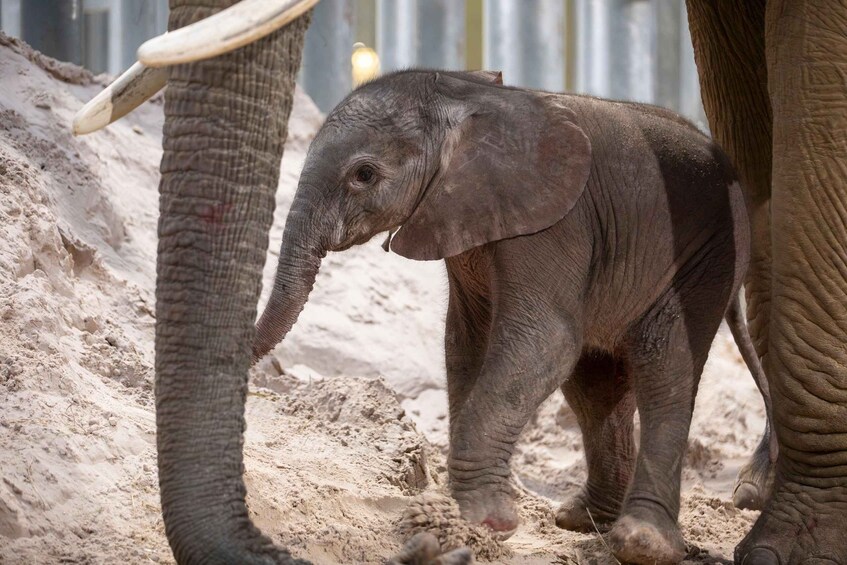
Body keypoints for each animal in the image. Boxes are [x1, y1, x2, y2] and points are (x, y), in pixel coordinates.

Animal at [250, 68, 769, 565]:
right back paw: (584, 521)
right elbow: (466, 345)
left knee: (664, 365)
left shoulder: (554, 223)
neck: (462, 95)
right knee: (595, 385)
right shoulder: (465, 220)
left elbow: (545, 341)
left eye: (363, 174)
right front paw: (457, 521)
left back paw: (642, 544)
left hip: (709, 254)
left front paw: (482, 523)